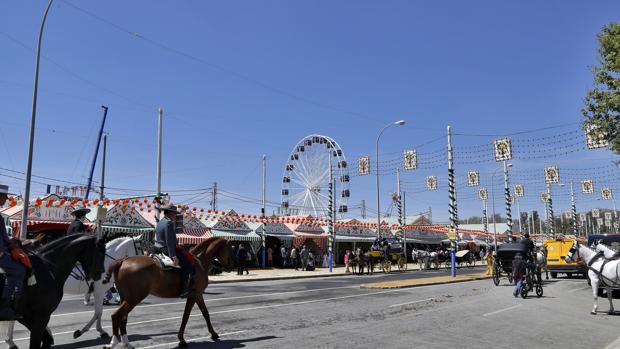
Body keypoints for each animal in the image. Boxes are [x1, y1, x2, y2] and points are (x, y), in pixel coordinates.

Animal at [3, 234, 144, 348]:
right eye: (140, 247)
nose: (144, 261)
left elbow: (98, 312)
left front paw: (97, 330)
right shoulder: (99, 291)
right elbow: (98, 312)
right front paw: (85, 331)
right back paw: (11, 341)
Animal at [104, 237, 235, 348]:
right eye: (230, 248)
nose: (230, 265)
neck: (200, 262)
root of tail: (123, 260)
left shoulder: (198, 295)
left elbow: (205, 313)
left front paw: (213, 334)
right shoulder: (194, 295)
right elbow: (186, 316)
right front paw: (181, 339)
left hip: (125, 298)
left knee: (123, 317)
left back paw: (127, 343)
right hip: (133, 299)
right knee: (116, 315)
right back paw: (113, 342)